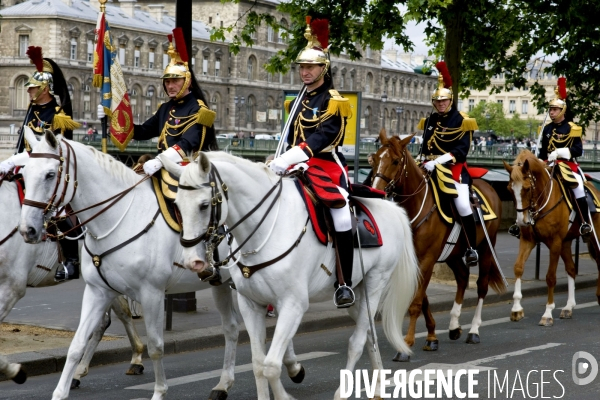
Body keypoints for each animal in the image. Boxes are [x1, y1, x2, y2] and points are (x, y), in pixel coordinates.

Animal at [18, 129, 300, 400]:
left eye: (50, 174)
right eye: (24, 174)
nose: (27, 230)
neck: (119, 219)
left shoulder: (151, 293)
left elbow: (155, 346)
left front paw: (159, 391)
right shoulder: (98, 291)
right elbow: (77, 344)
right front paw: (61, 390)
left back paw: (289, 365)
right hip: (221, 283)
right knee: (232, 328)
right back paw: (229, 382)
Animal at [162, 151, 420, 400]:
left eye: (204, 205)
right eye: (176, 205)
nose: (192, 261)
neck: (266, 230)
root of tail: (393, 209)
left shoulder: (293, 305)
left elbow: (271, 366)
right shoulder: (251, 305)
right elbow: (258, 365)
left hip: (375, 284)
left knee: (356, 342)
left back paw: (343, 393)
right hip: (358, 293)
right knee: (368, 334)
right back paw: (378, 387)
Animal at [370, 130, 506, 360]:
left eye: (395, 161)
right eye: (375, 158)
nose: (376, 191)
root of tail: (488, 186)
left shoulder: (427, 258)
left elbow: (416, 301)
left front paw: (406, 344)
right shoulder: (417, 259)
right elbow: (422, 298)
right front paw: (432, 337)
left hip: (487, 248)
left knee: (481, 286)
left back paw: (473, 331)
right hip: (454, 253)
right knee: (462, 277)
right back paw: (454, 326)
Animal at [502, 149, 600, 324]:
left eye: (527, 188)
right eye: (509, 189)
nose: (522, 222)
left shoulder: (555, 242)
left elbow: (550, 277)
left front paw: (547, 313)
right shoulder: (528, 240)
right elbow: (518, 267)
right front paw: (516, 309)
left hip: (594, 235)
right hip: (566, 242)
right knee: (571, 269)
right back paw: (568, 307)